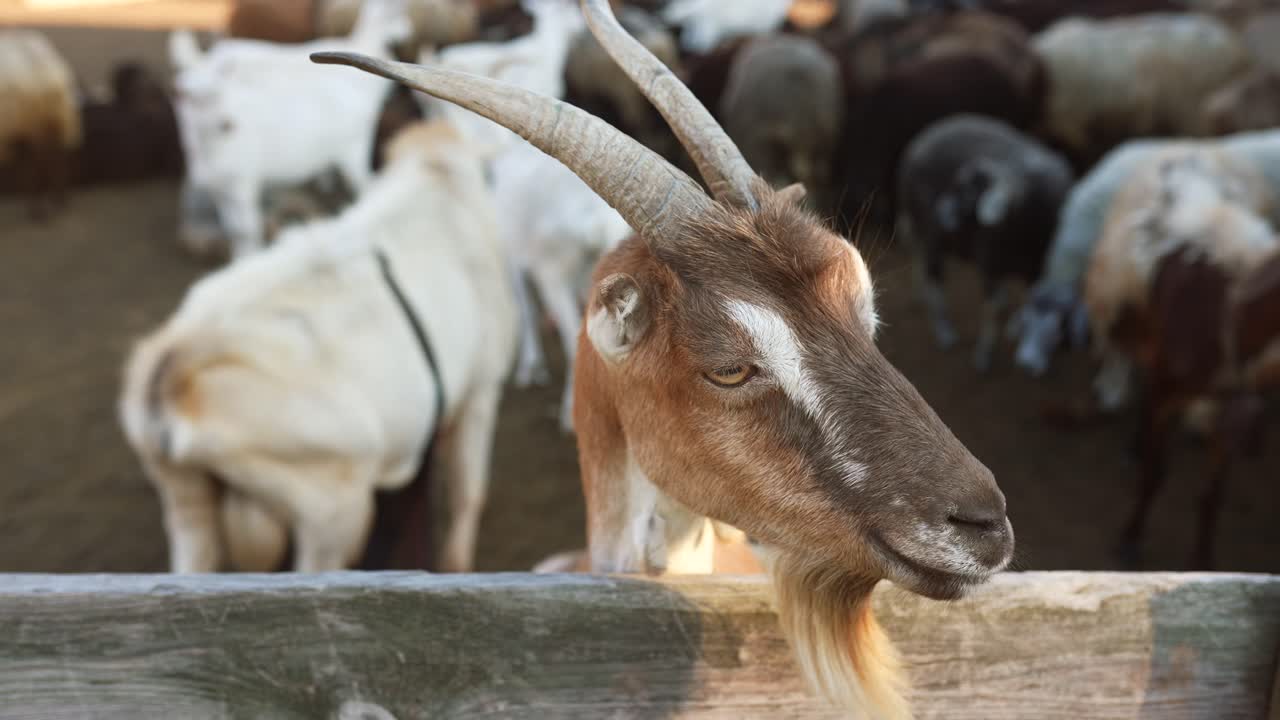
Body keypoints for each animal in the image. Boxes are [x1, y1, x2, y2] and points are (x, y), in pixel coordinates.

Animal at [119, 119, 518, 574]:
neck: (435, 176)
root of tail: (177, 359)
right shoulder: (483, 389)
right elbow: (469, 493)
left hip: (186, 502)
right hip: (332, 509)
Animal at [170, 0, 410, 258]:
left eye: (219, 92)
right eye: (190, 99)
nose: (227, 123)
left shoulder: (241, 185)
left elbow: (245, 229)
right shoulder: (225, 188)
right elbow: (236, 229)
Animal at [898, 114, 1074, 371]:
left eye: (968, 193)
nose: (940, 212)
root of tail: (921, 141)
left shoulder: (1035, 269)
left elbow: (1029, 301)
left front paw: (1019, 328)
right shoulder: (990, 264)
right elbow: (993, 310)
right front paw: (985, 353)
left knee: (919, 256)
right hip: (931, 233)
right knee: (934, 274)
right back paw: (944, 329)